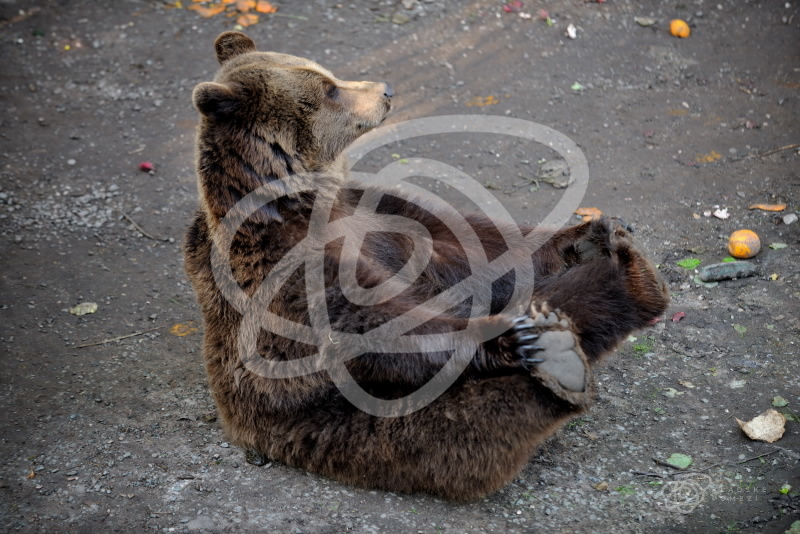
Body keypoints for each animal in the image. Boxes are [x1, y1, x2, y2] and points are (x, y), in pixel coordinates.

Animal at [184, 32, 672, 502]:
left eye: (329, 75)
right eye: (329, 89)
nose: (385, 89)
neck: (303, 198)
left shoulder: (385, 216)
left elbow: (476, 247)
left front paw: (585, 233)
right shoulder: (279, 266)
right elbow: (366, 323)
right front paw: (505, 337)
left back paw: (627, 271)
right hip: (341, 423)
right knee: (467, 421)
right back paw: (558, 357)